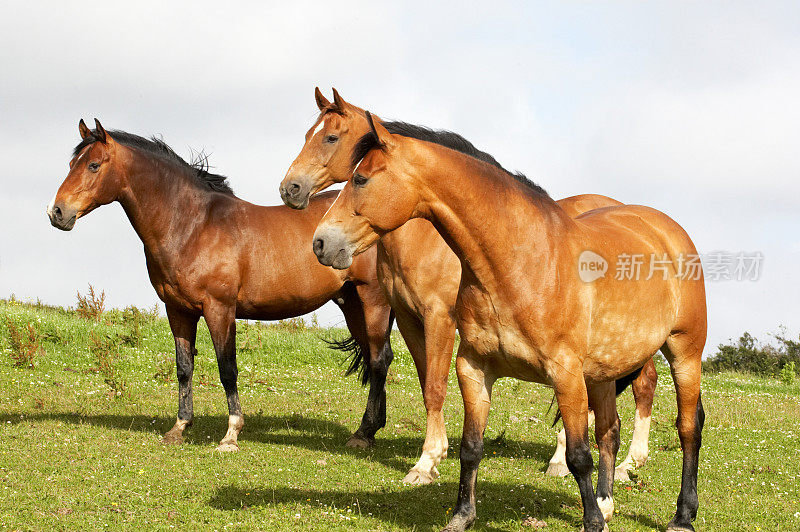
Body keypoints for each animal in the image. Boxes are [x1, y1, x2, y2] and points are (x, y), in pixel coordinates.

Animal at [45, 120, 396, 454]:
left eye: (93, 165)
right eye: (71, 163)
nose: (56, 212)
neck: (193, 226)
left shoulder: (219, 309)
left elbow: (227, 369)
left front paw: (231, 435)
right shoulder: (178, 310)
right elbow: (184, 368)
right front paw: (179, 428)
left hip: (373, 300)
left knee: (379, 361)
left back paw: (363, 434)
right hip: (352, 303)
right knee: (377, 357)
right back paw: (372, 429)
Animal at [280, 89, 656, 484]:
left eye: (330, 137)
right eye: (308, 134)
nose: (290, 188)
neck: (425, 236)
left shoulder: (440, 318)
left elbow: (435, 385)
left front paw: (427, 460)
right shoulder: (410, 319)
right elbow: (426, 381)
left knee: (643, 385)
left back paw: (625, 462)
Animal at [312, 113, 708, 532]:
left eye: (360, 178)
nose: (320, 242)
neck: (519, 262)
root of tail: (668, 229)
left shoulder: (566, 375)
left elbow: (578, 456)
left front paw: (591, 522)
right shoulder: (473, 367)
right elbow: (471, 447)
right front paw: (462, 516)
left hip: (684, 354)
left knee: (687, 429)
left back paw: (682, 515)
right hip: (603, 371)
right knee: (609, 432)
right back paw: (605, 503)